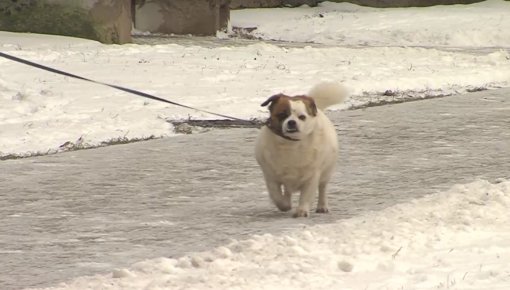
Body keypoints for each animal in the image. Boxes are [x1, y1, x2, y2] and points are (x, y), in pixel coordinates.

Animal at [255, 81, 346, 218]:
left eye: (302, 117)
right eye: (282, 115)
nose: (291, 122)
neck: (291, 143)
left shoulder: (312, 175)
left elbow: (306, 194)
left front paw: (302, 210)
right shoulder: (270, 175)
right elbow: (276, 194)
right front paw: (284, 205)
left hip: (326, 172)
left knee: (322, 188)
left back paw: (322, 206)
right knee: (287, 191)